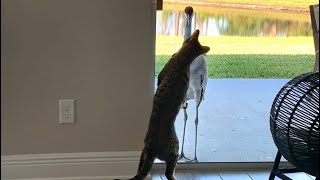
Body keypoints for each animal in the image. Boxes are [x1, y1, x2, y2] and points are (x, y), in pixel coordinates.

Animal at [115, 29, 210, 180]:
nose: (197, 30)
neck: (183, 58)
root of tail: (152, 149)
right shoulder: (184, 90)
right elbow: (183, 99)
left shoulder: (162, 76)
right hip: (174, 150)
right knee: (168, 173)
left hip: (143, 153)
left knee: (140, 169)